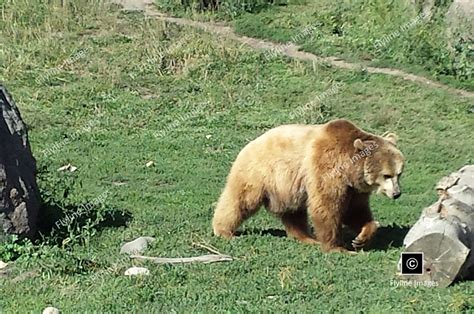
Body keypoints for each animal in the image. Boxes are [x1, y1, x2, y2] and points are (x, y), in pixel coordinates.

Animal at [213, 119, 406, 254]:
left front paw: (361, 238)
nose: (397, 193)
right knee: (241, 200)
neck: (350, 170)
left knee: (293, 212)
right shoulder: (327, 167)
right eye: (387, 175)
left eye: (399, 173)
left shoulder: (354, 188)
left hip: (287, 187)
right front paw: (337, 247)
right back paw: (223, 230)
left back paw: (306, 237)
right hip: (260, 172)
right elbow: (326, 206)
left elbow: (356, 210)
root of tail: (250, 143)